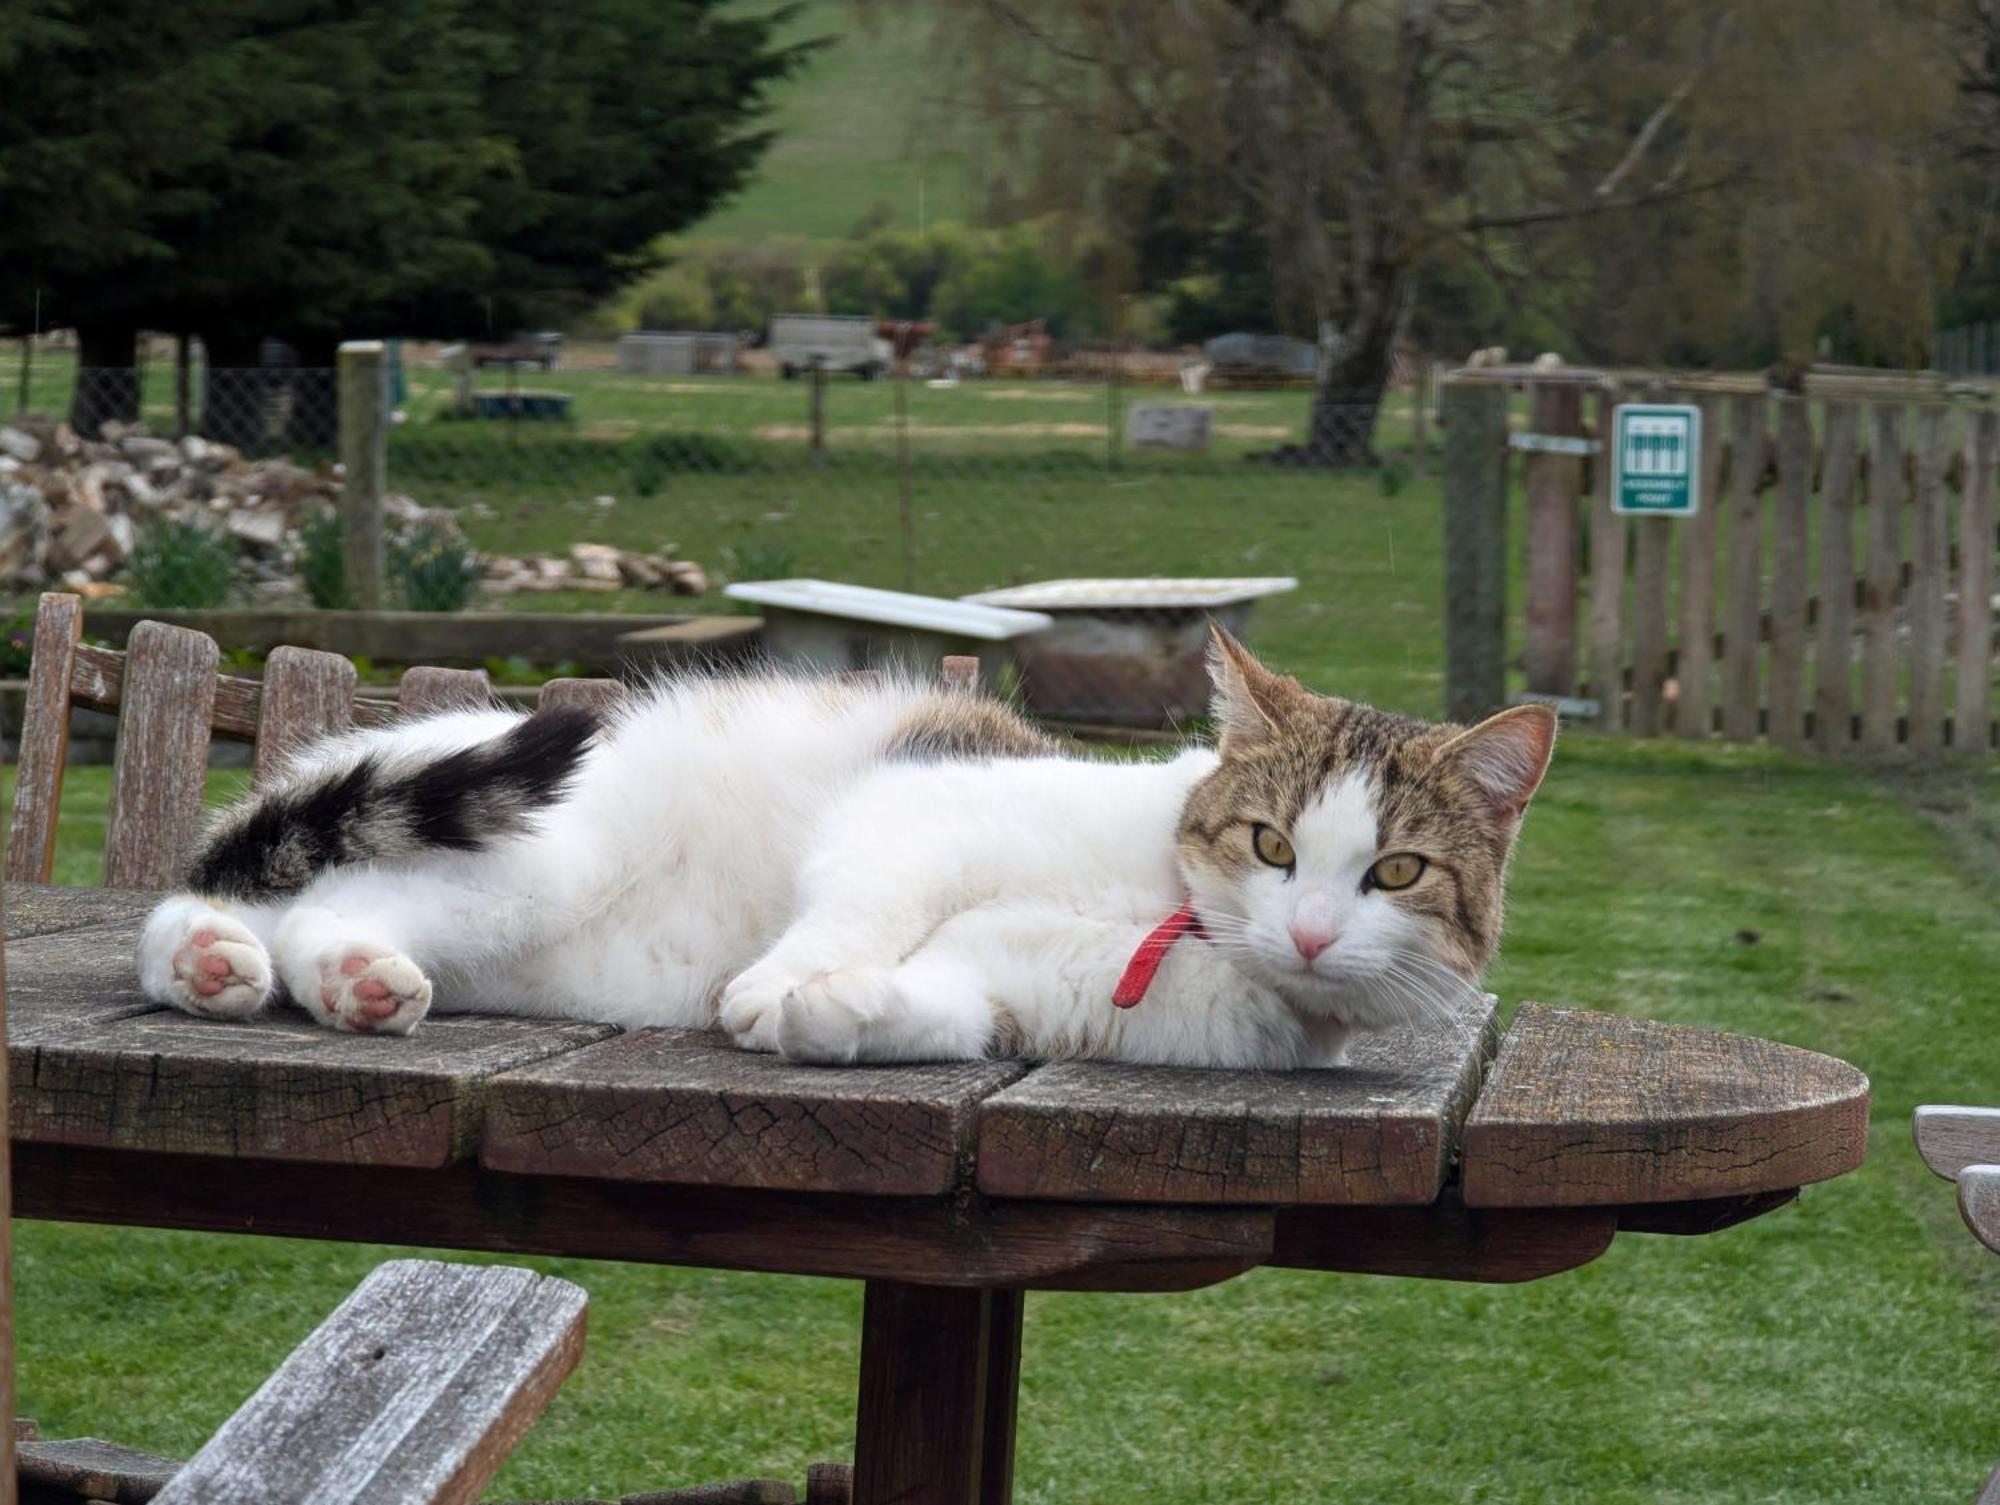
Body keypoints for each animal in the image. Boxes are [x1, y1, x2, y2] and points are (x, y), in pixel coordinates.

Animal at [133, 624, 1552, 1072]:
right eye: (1267, 841)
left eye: (1395, 872)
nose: (1307, 928)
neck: (1166, 914)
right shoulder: (914, 807)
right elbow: (860, 899)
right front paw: (774, 985)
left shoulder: (1011, 989)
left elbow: (937, 1007)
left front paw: (827, 1015)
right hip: (532, 854)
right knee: (295, 892)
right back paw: (282, 967)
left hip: (486, 916)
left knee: (270, 913)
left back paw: (251, 971)